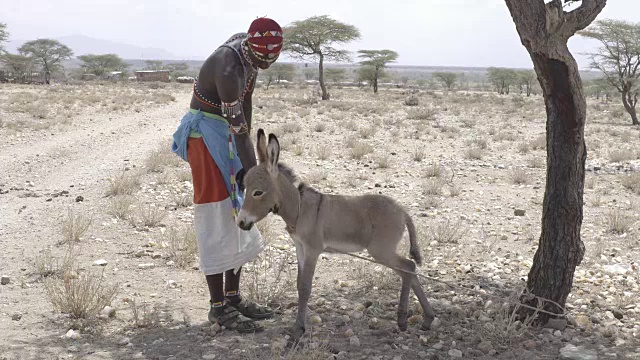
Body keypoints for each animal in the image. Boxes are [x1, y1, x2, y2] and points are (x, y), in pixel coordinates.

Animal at [238, 129, 438, 340]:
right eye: (245, 188)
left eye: (258, 192)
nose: (241, 222)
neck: (300, 208)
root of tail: (402, 211)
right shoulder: (300, 247)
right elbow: (299, 283)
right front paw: (297, 326)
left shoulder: (313, 249)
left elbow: (305, 287)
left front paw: (298, 329)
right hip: (383, 251)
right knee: (410, 270)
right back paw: (427, 319)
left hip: (381, 250)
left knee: (408, 267)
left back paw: (402, 319)